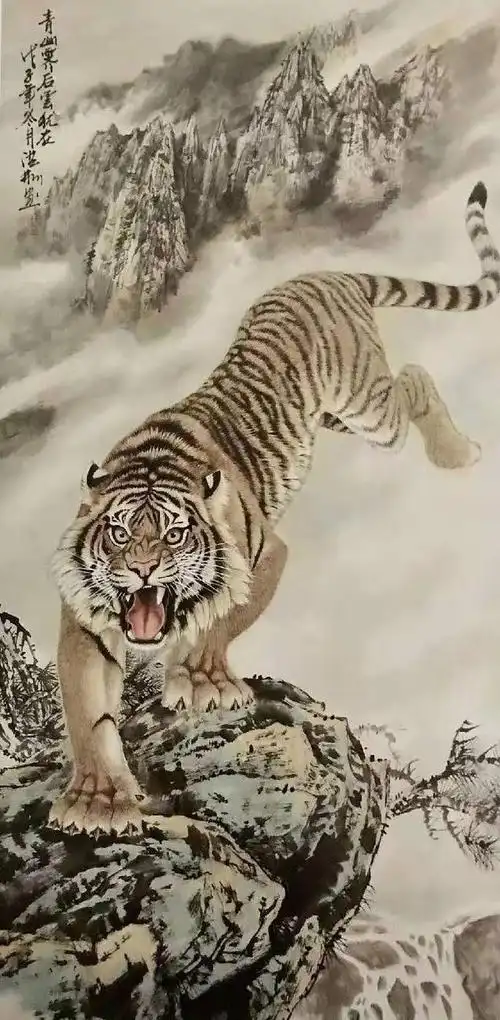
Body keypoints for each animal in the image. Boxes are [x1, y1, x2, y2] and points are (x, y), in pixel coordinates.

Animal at [49, 181, 500, 836]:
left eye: (175, 535)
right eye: (118, 534)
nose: (141, 571)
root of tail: (323, 273)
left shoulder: (266, 556)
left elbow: (223, 620)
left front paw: (201, 681)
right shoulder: (85, 620)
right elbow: (87, 711)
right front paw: (97, 800)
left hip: (368, 408)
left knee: (413, 380)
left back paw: (458, 453)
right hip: (333, 418)